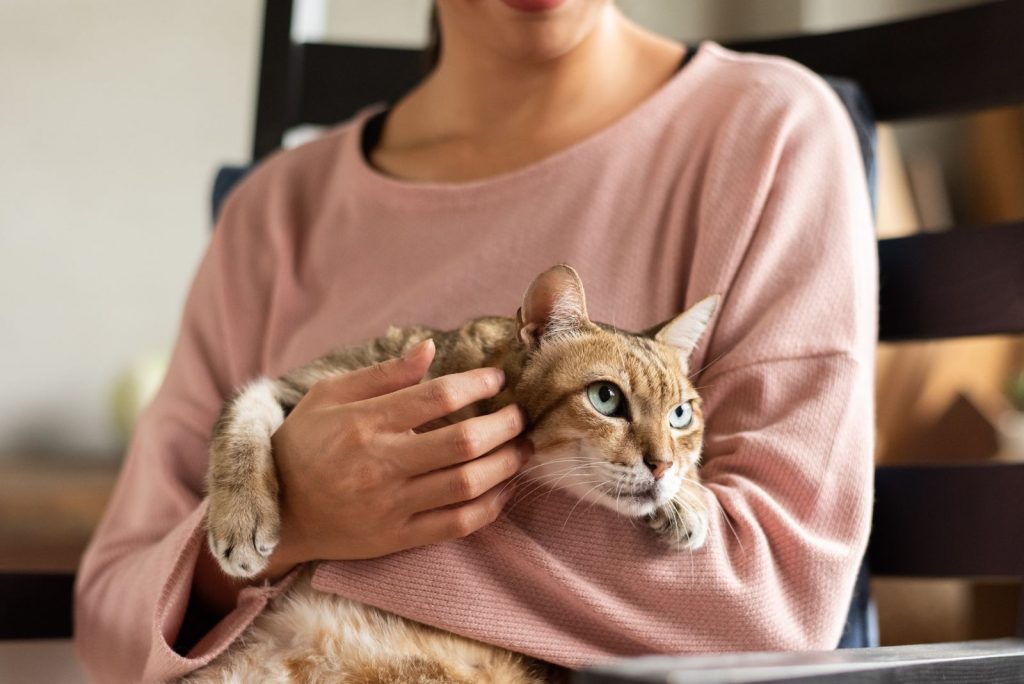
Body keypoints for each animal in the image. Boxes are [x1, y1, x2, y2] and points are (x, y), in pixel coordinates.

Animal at [193, 266, 720, 684]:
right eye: (606, 398)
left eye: (680, 414)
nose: (661, 464)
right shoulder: (302, 384)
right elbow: (241, 414)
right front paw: (241, 517)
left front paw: (688, 498)